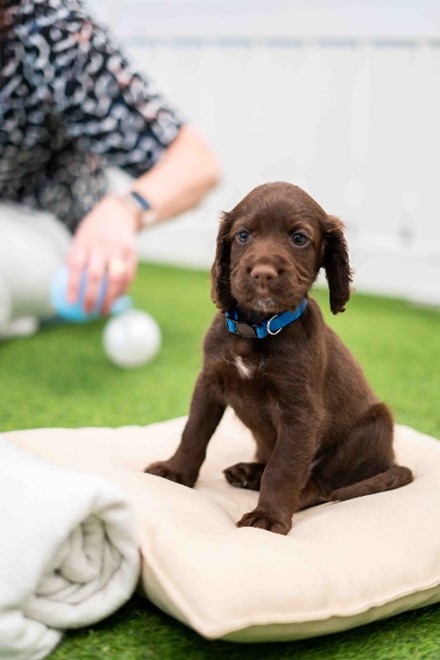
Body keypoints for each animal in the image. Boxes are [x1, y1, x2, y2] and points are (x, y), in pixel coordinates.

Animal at [145, 182, 412, 536]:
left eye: (299, 238)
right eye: (243, 235)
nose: (262, 274)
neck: (256, 329)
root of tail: (391, 462)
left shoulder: (300, 413)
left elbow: (284, 467)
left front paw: (268, 517)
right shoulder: (209, 382)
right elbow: (194, 431)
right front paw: (175, 471)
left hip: (374, 426)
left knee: (322, 485)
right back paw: (248, 472)